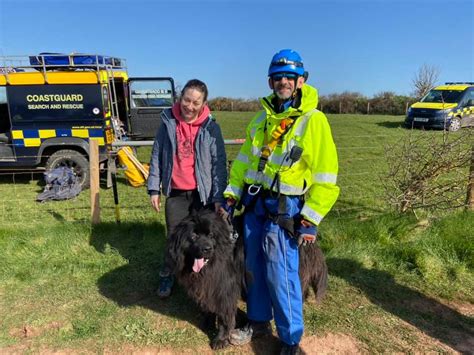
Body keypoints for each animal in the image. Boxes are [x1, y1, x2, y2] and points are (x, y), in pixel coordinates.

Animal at [168, 211, 328, 350]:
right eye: (194, 235)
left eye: (211, 235)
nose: (207, 248)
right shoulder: (208, 285)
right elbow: (208, 305)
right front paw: (207, 321)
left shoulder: (224, 289)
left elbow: (225, 316)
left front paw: (220, 339)